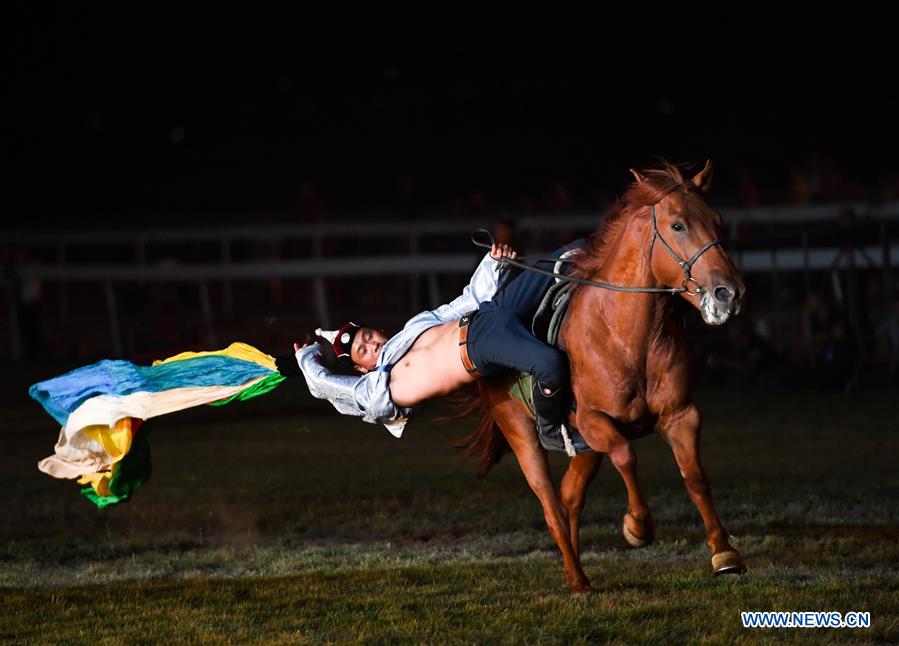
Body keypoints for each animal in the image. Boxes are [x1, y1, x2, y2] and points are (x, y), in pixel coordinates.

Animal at [459, 160, 747, 594]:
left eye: (718, 221)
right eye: (678, 225)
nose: (729, 292)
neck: (626, 335)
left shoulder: (681, 415)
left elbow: (696, 477)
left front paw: (724, 552)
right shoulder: (595, 421)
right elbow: (627, 455)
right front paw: (638, 526)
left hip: (585, 447)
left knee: (569, 496)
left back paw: (573, 568)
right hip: (522, 431)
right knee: (551, 503)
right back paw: (578, 577)